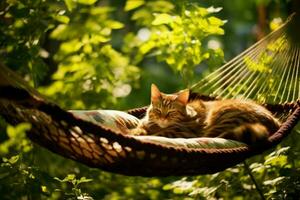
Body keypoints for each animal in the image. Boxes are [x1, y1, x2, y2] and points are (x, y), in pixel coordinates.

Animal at [132, 83, 282, 145]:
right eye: (158, 110)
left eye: (171, 112)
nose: (163, 118)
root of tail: (276, 122)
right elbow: (139, 128)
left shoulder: (183, 133)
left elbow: (158, 134)